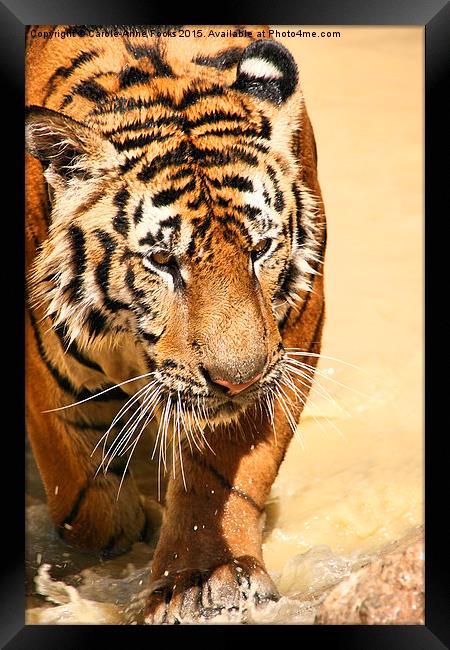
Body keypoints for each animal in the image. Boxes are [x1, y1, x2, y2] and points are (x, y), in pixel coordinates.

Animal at [24, 26, 326, 624]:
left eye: (260, 249)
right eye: (163, 261)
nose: (237, 379)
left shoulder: (292, 332)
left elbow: (221, 472)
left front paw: (205, 579)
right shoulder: (44, 361)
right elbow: (83, 500)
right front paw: (127, 530)